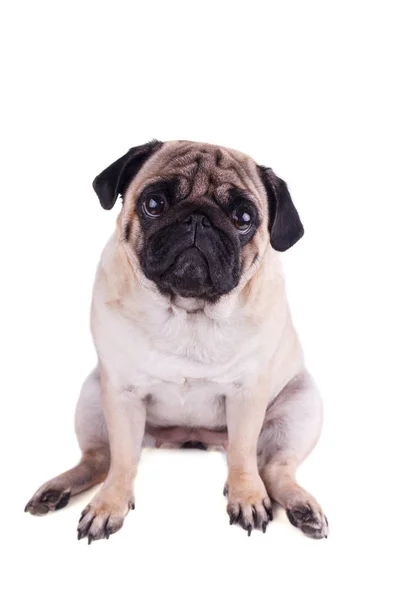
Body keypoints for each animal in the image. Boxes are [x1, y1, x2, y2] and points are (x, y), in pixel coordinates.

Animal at [26, 142, 330, 544]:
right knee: (99, 459)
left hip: (301, 406)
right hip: (92, 395)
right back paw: (57, 490)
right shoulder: (121, 395)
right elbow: (122, 461)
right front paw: (109, 505)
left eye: (243, 217)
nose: (198, 219)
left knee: (273, 467)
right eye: (154, 204)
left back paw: (300, 507)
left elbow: (244, 456)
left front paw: (247, 497)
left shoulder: (247, 395)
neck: (188, 312)